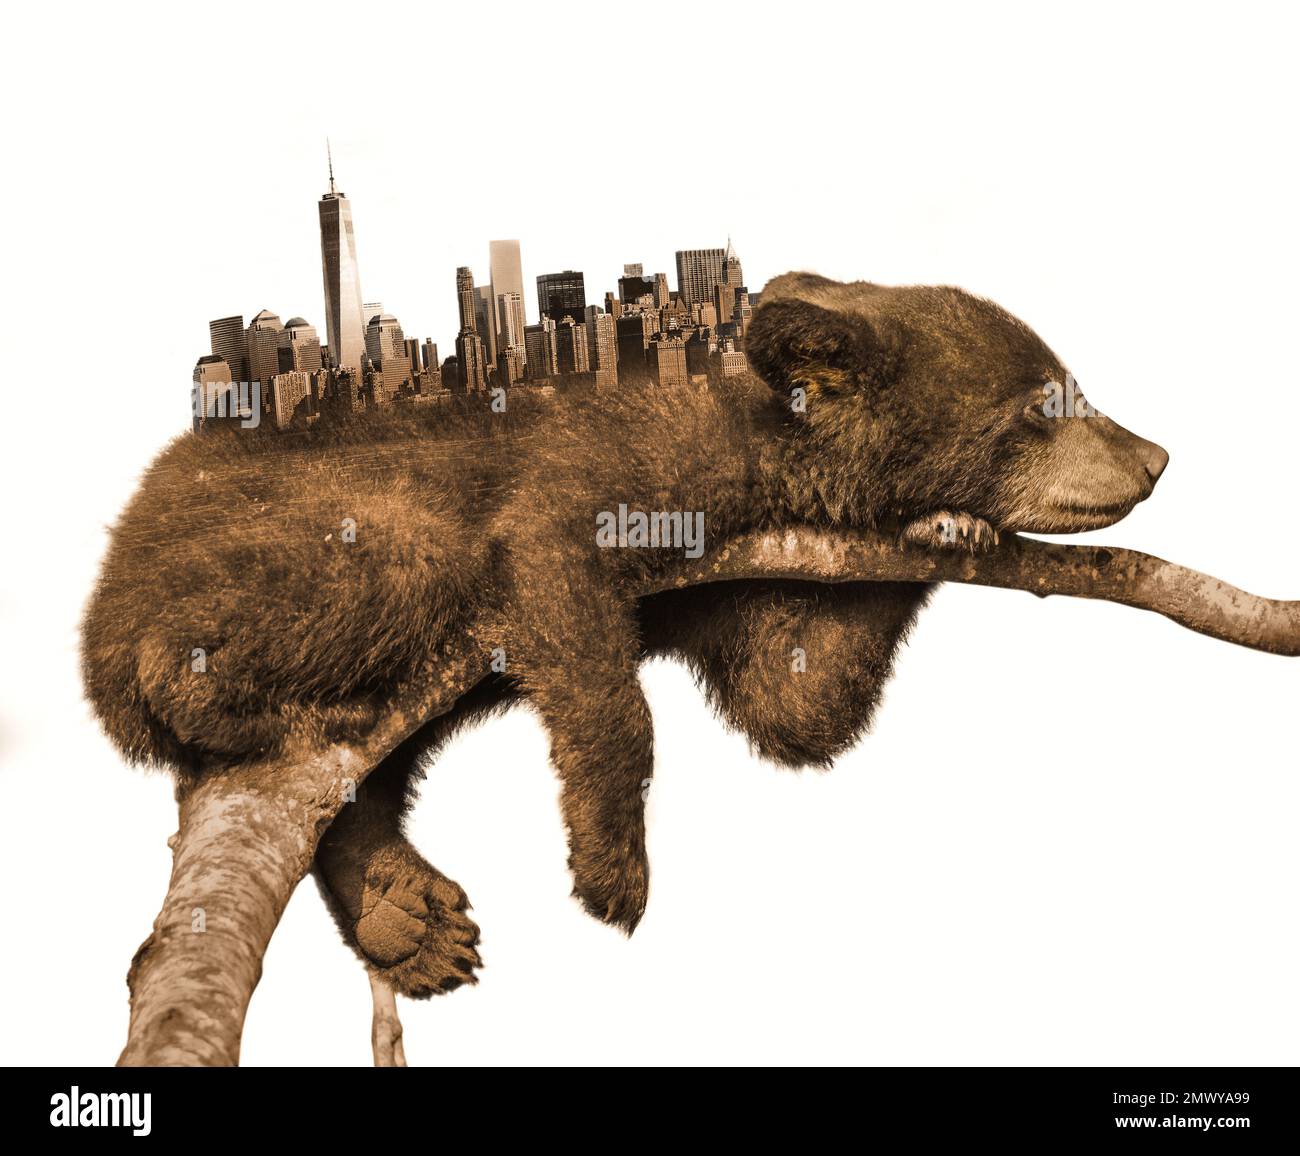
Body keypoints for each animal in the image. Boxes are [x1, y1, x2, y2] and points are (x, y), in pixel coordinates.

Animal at [81, 271, 1169, 998]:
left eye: (1069, 383)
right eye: (1043, 402)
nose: (1155, 457)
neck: (753, 436)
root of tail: (104, 586)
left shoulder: (740, 579)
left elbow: (796, 694)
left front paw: (949, 529)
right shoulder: (602, 475)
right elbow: (564, 593)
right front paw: (613, 870)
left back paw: (406, 915)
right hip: (317, 541)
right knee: (340, 605)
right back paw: (229, 702)